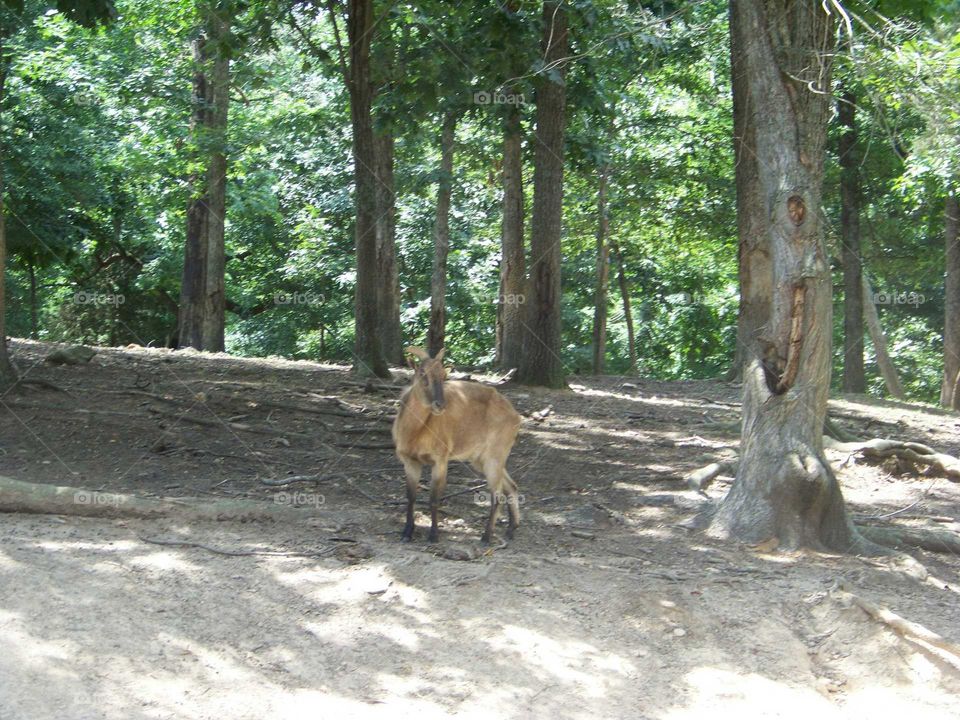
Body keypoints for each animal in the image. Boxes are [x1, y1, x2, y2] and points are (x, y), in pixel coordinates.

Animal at [392, 347, 522, 544]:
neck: (415, 432)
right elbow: (411, 496)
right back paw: (511, 528)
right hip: (482, 459)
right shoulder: (410, 461)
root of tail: (516, 416)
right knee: (511, 486)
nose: (440, 404)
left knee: (497, 494)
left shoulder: (440, 460)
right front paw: (406, 532)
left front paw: (434, 535)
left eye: (443, 374)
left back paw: (486, 536)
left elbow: (434, 498)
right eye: (422, 373)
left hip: (496, 454)